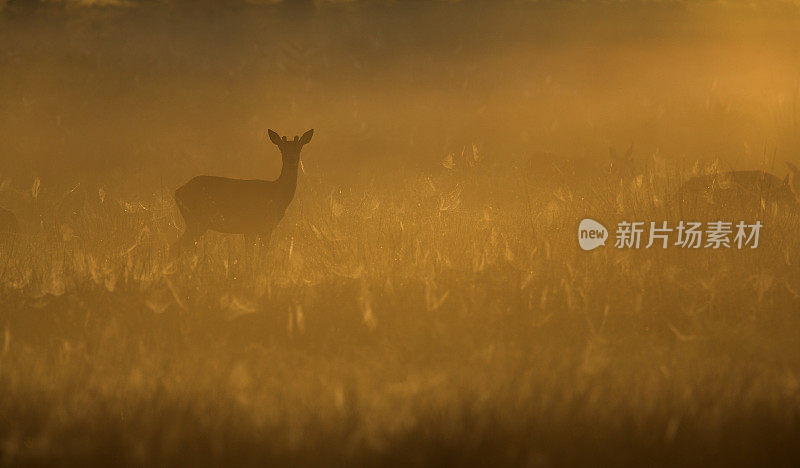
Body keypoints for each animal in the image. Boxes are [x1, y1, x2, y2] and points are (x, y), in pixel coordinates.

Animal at [171, 128, 312, 256]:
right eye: (281, 148)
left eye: (299, 148)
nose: (291, 160)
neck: (277, 195)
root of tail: (177, 192)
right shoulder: (252, 226)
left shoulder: (264, 229)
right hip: (196, 221)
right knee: (177, 246)